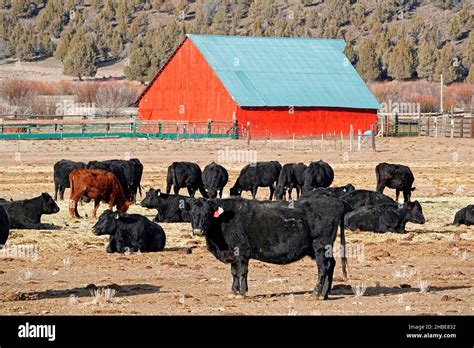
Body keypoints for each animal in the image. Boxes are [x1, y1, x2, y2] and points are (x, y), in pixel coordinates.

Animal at [181, 197, 348, 300]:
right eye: (192, 213)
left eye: (207, 214)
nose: (198, 231)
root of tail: (336, 201)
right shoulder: (233, 255)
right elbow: (234, 272)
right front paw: (234, 291)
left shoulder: (241, 251)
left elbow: (242, 272)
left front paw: (242, 292)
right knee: (331, 264)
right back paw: (325, 294)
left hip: (320, 245)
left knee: (323, 267)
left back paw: (316, 293)